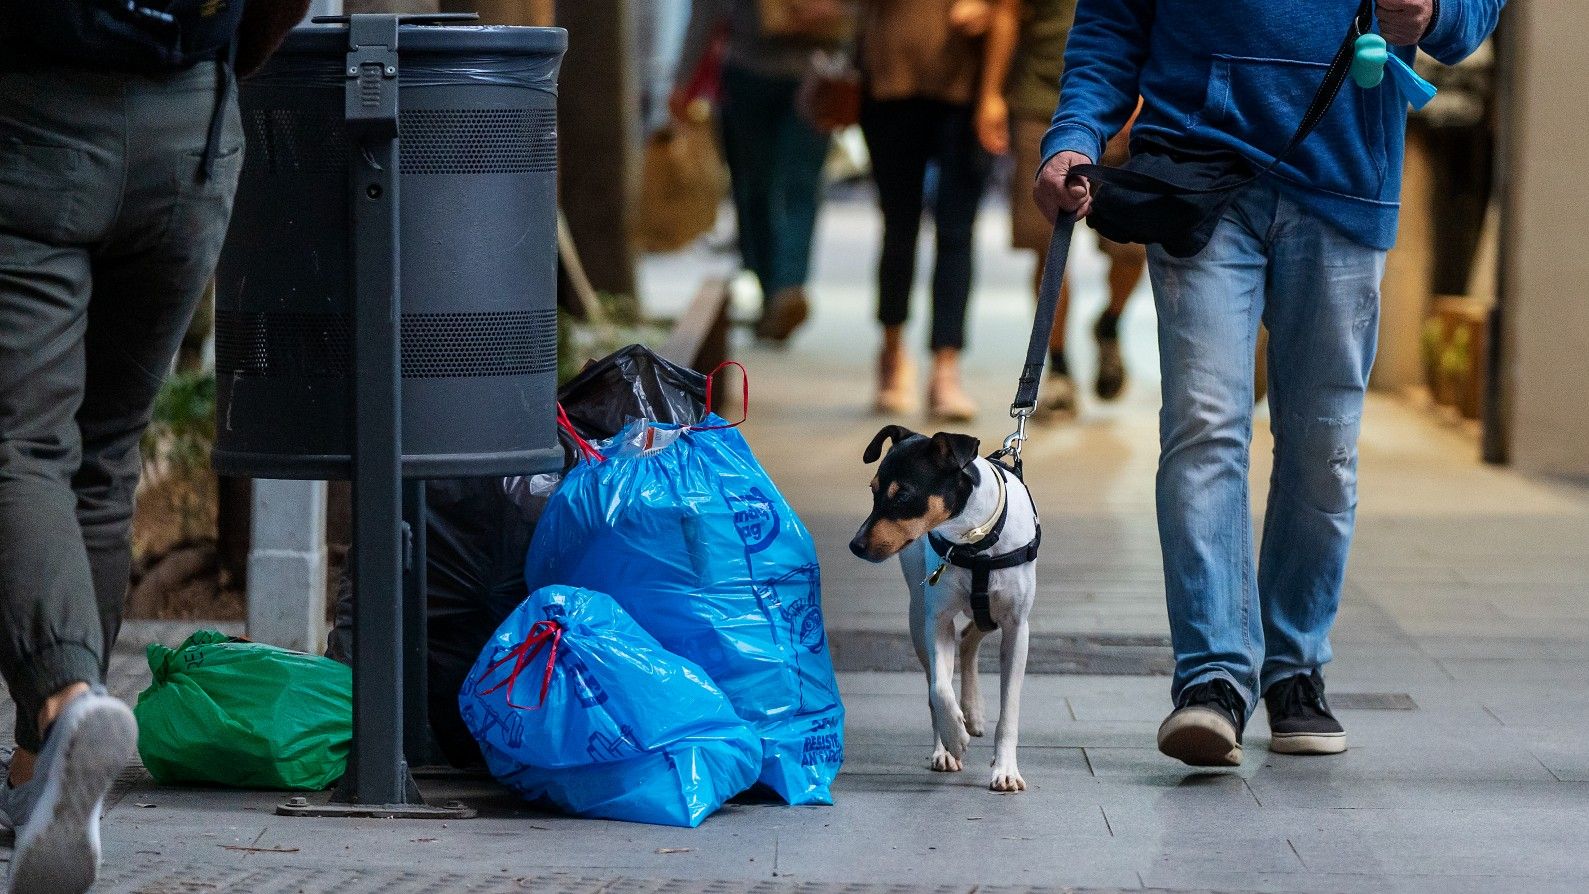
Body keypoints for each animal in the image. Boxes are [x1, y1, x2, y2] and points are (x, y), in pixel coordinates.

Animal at [845, 425, 1042, 790]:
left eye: (903, 495)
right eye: (873, 490)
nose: (855, 545)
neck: (974, 539)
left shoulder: (1016, 627)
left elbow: (1009, 710)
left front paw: (1006, 770)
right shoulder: (936, 621)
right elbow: (939, 689)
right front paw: (955, 737)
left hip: (991, 614)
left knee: (969, 638)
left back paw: (974, 713)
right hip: (917, 617)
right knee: (941, 672)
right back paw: (949, 744)